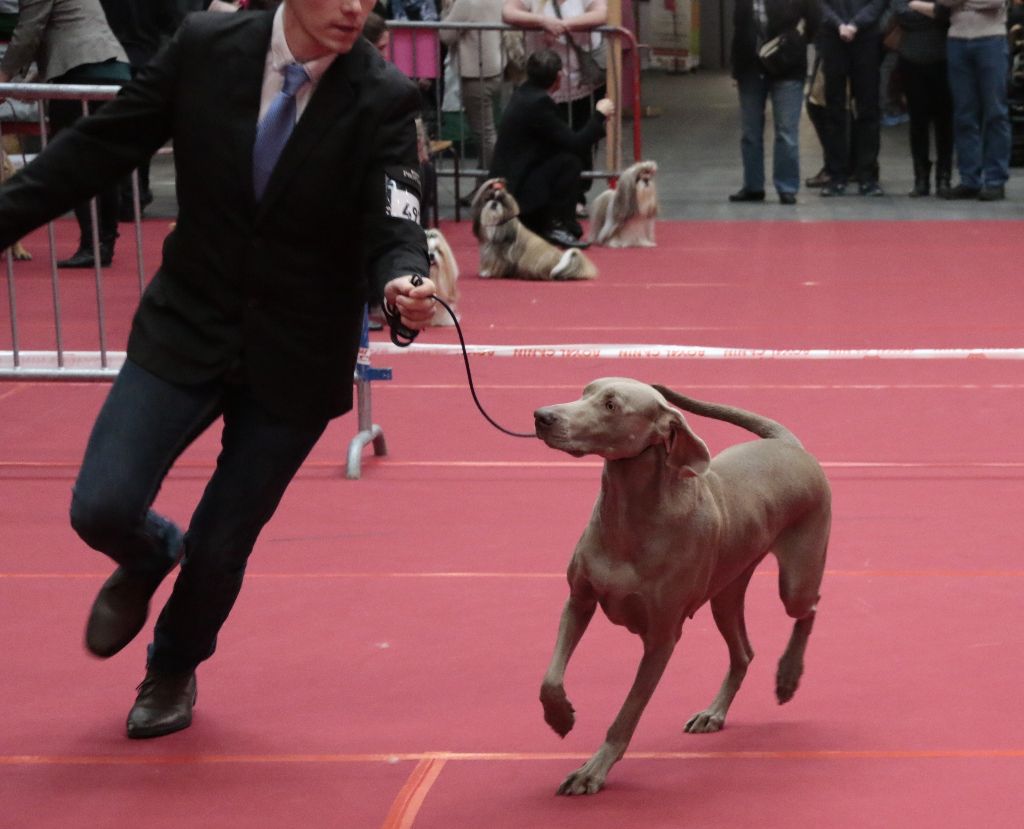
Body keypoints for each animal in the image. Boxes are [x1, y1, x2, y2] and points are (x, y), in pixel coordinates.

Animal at [468, 178, 598, 280]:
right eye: (488, 198)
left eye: (502, 200)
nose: (494, 203)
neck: (495, 223)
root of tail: (559, 260)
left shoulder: (499, 252)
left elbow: (496, 262)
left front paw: (488, 273)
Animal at [532, 378, 827, 794]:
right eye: (584, 391)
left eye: (611, 405)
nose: (542, 416)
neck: (629, 517)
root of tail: (787, 444)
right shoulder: (579, 599)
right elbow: (551, 677)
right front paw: (559, 717)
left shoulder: (661, 638)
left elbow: (628, 712)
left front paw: (593, 770)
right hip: (726, 592)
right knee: (743, 652)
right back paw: (714, 713)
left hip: (796, 579)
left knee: (809, 608)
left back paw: (788, 676)